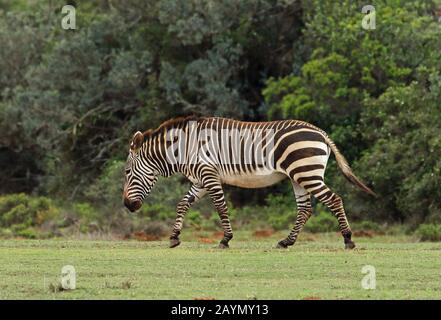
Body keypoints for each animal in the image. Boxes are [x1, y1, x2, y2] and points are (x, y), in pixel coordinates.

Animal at [122, 116, 372, 249]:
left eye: (126, 171)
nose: (127, 206)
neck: (184, 148)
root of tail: (320, 132)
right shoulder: (201, 180)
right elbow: (183, 204)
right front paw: (174, 237)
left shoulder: (209, 174)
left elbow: (221, 207)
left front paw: (225, 239)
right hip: (299, 176)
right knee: (305, 209)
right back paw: (286, 241)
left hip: (306, 172)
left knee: (334, 200)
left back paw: (348, 239)